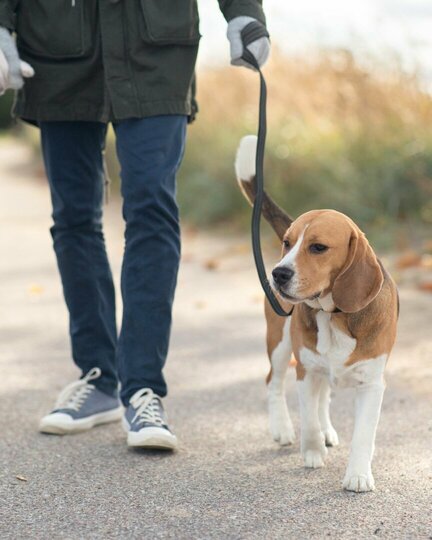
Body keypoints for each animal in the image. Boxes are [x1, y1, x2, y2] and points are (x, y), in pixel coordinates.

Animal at [236, 133, 398, 492]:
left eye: (318, 247)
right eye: (287, 242)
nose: (278, 274)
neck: (333, 314)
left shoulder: (371, 384)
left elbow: (363, 435)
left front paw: (358, 475)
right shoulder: (306, 369)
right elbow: (308, 417)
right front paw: (311, 453)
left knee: (324, 397)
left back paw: (327, 431)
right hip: (280, 344)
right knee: (273, 382)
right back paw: (283, 428)